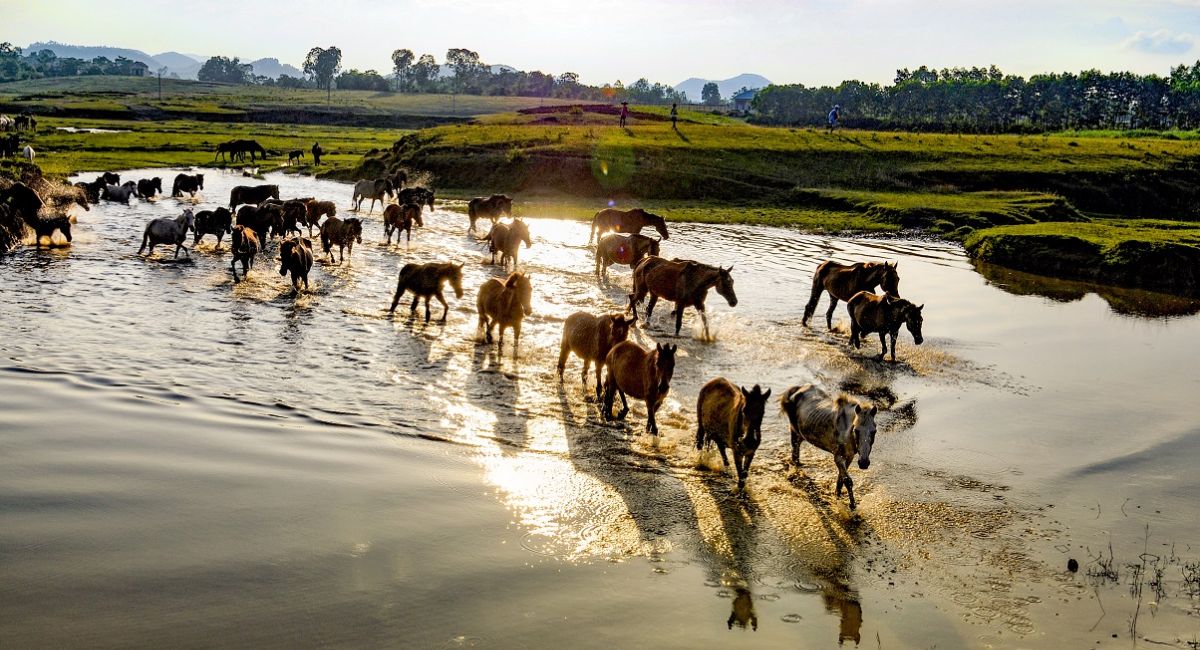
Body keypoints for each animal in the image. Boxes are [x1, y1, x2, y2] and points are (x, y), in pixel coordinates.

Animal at [782, 383, 878, 513]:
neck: (846, 431)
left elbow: (841, 479)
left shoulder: (849, 457)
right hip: (794, 431)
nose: (864, 463)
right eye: (856, 430)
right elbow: (847, 480)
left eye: (874, 431)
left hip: (801, 434)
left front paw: (837, 495)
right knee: (795, 453)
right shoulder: (838, 457)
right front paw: (852, 506)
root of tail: (797, 389)